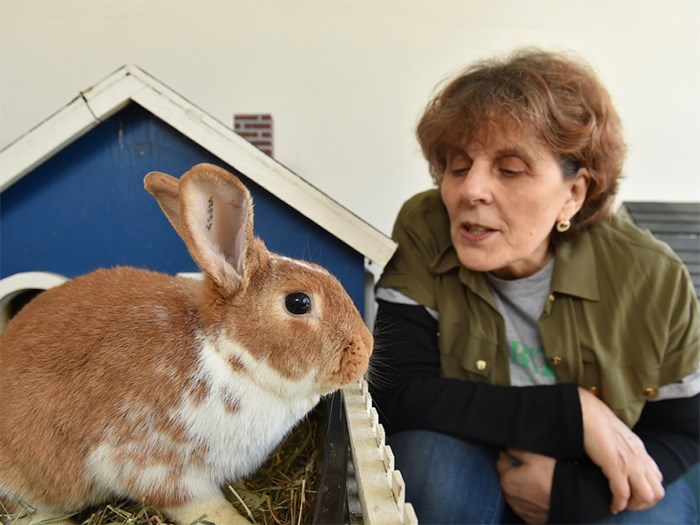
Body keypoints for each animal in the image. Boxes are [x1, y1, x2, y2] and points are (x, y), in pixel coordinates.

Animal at [0, 164, 374, 524]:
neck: (226, 356)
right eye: (298, 302)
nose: (366, 347)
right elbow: (204, 508)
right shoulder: (158, 469)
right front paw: (240, 521)